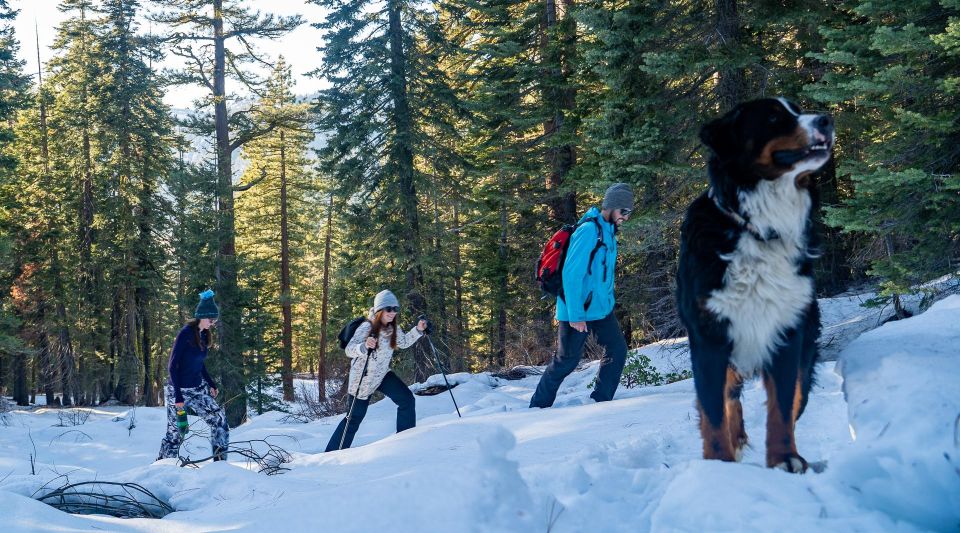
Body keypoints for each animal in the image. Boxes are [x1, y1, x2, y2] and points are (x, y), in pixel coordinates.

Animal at [676, 96, 832, 470]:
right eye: (773, 118)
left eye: (798, 109)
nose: (827, 119)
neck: (760, 228)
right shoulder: (710, 338)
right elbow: (714, 413)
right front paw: (718, 463)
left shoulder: (787, 332)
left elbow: (783, 408)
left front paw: (785, 459)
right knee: (728, 399)